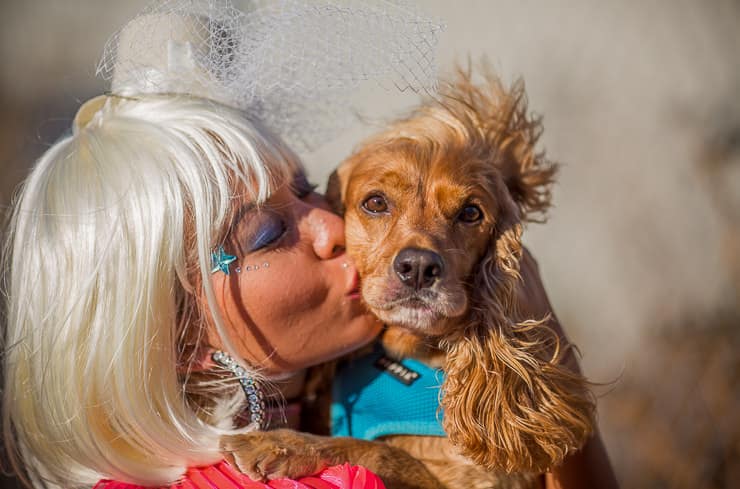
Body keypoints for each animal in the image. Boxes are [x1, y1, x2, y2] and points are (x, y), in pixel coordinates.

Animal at [221, 67, 596, 488]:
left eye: (471, 213)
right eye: (375, 202)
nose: (418, 267)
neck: (406, 354)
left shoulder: (487, 480)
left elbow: (378, 450)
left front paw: (280, 443)